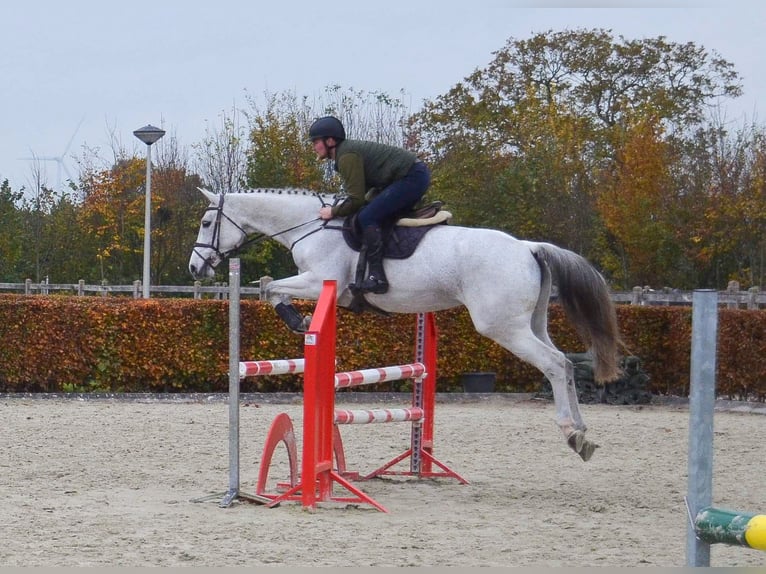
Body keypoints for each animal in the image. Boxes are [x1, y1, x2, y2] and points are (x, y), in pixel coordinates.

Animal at [190, 189, 624, 464]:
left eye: (208, 221)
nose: (195, 268)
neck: (309, 226)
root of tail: (528, 247)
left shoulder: (321, 283)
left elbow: (269, 287)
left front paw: (299, 320)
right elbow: (268, 285)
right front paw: (299, 319)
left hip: (502, 326)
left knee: (554, 364)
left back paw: (572, 432)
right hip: (531, 322)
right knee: (565, 362)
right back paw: (583, 432)